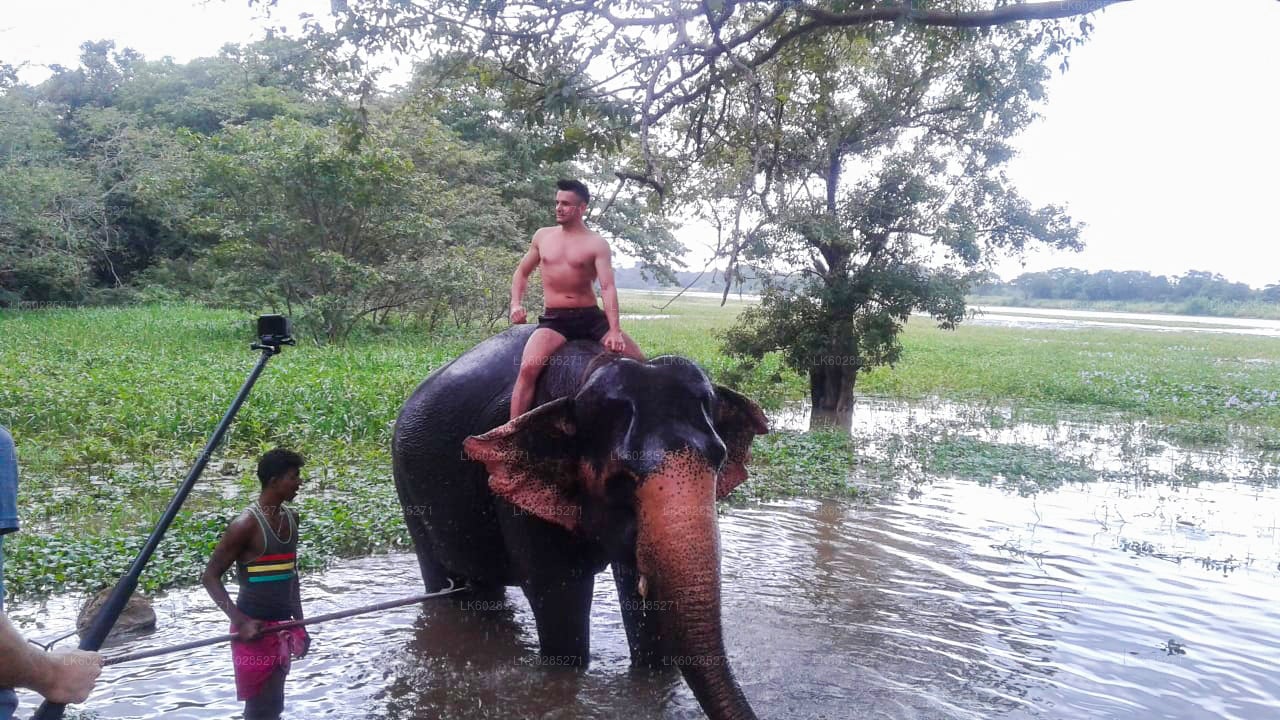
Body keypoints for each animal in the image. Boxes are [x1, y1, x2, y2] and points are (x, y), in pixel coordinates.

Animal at [391, 324, 769, 720]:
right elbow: (560, 595)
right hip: (408, 492)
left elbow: (640, 594)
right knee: (448, 584)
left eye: (720, 458)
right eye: (620, 480)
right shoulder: (514, 495)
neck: (588, 375)